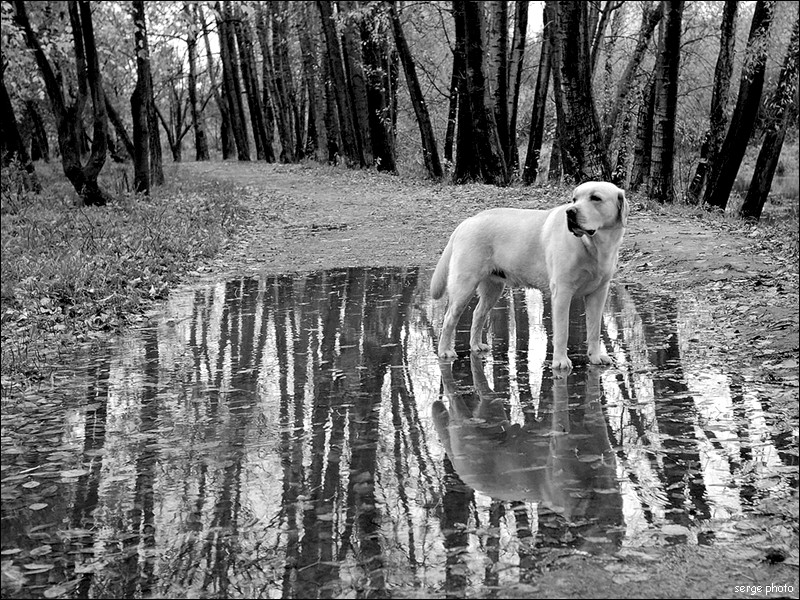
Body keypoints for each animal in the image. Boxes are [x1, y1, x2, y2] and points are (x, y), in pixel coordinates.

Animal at [428, 182, 628, 370]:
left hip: (493, 288)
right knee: (449, 319)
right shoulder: (562, 292)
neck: (593, 246)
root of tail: (466, 222)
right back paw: (445, 351)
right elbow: (562, 331)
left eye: (595, 198)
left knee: (478, 313)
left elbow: (594, 329)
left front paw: (595, 357)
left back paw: (476, 345)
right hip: (464, 286)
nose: (570, 212)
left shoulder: (599, 292)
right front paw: (560, 361)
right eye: (574, 199)